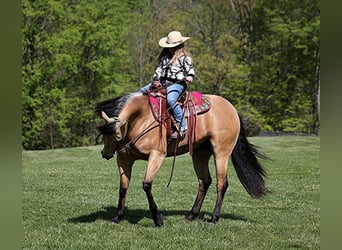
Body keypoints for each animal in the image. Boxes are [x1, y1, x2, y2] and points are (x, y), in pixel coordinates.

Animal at [94, 90, 268, 227]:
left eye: (117, 135)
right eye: (104, 135)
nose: (105, 153)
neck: (141, 118)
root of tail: (232, 109)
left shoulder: (157, 155)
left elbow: (146, 184)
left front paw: (157, 218)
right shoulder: (124, 159)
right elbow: (123, 187)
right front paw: (117, 217)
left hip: (221, 153)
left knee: (221, 184)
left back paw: (213, 218)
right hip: (200, 154)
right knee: (204, 181)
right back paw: (191, 215)